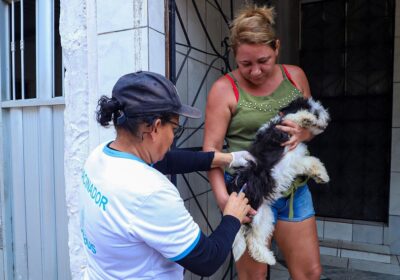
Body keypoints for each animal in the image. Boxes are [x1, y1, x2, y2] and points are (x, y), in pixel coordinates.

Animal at [228, 98, 332, 264]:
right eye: (316, 111)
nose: (327, 119)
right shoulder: (275, 135)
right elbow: (291, 119)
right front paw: (305, 118)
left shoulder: (296, 159)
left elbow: (312, 161)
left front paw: (322, 176)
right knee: (251, 237)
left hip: (264, 215)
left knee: (254, 239)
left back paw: (268, 258)